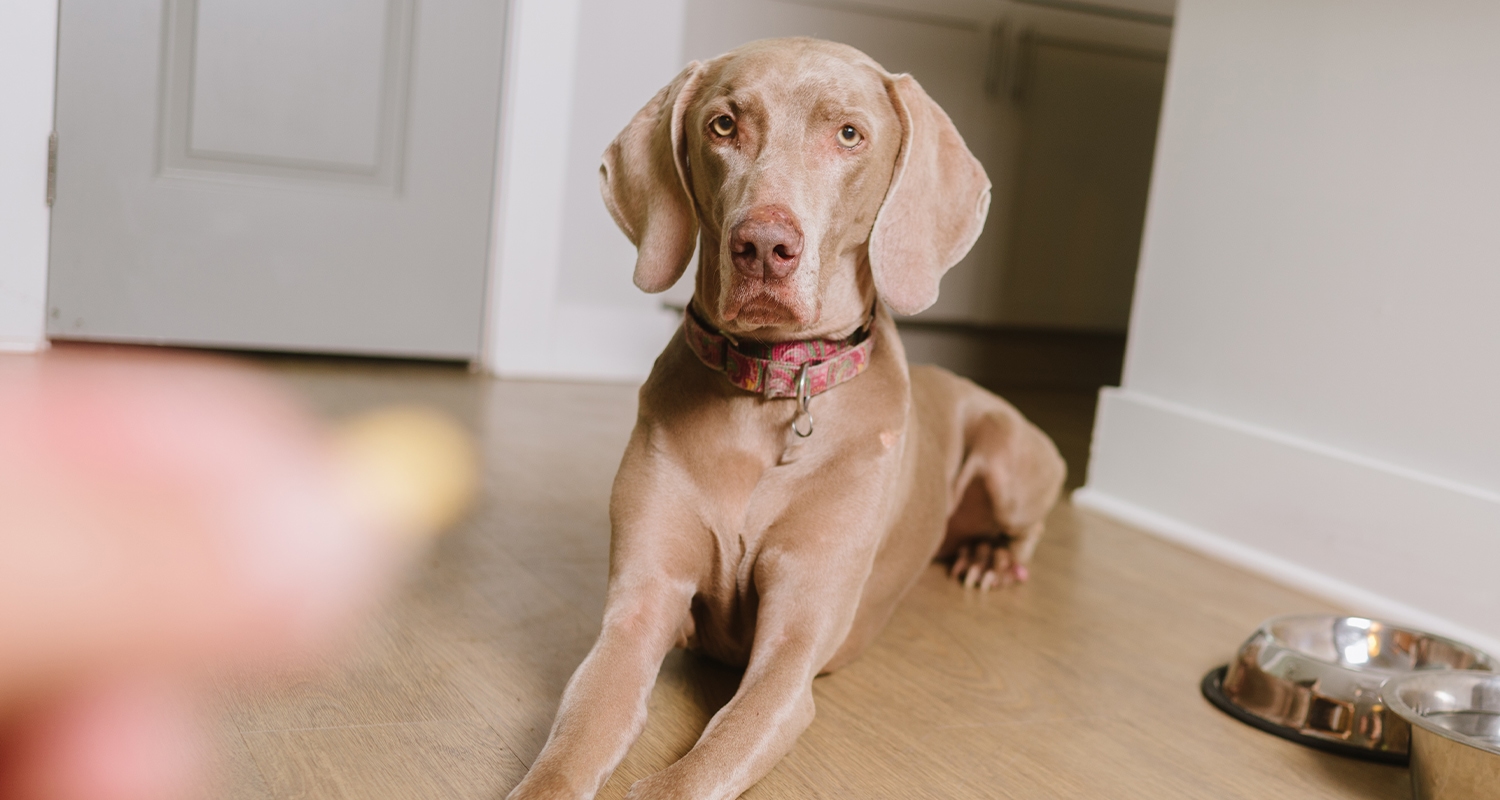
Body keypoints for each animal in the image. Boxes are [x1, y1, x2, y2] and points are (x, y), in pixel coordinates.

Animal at [510, 37, 1074, 798]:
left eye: (849, 135)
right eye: (723, 126)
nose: (763, 247)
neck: (770, 389)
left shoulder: (791, 653)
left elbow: (703, 762)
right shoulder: (636, 613)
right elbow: (571, 746)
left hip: (1009, 452)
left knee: (1030, 519)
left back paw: (990, 558)